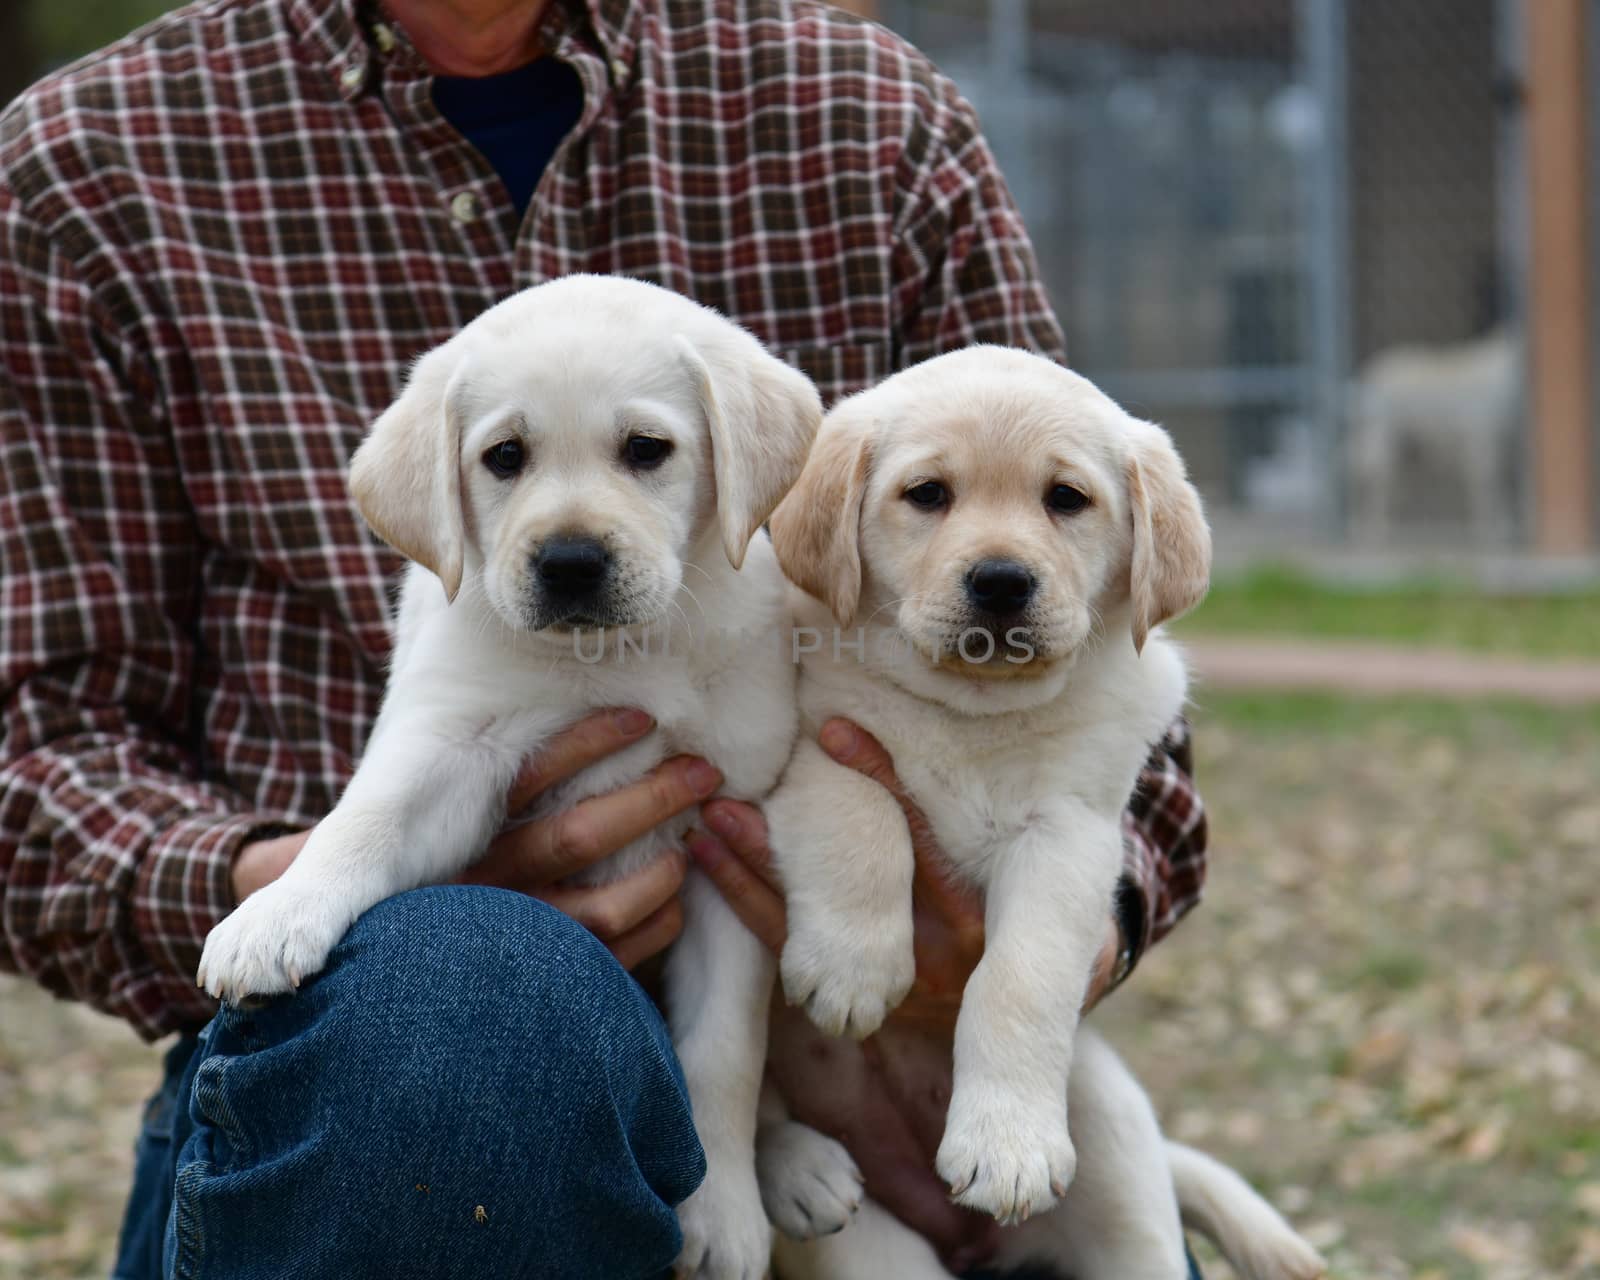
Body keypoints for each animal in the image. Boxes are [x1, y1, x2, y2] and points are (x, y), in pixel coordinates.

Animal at [196, 275, 825, 1273]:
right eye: (503, 457)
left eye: (646, 450)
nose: (570, 563)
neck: (616, 656)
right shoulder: (449, 742)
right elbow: (365, 820)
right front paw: (278, 912)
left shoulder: (723, 828)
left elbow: (728, 1051)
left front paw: (724, 1212)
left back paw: (799, 1164)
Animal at [761, 345, 1324, 1273]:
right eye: (927, 494)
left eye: (1066, 498)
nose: (1000, 581)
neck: (975, 714)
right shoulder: (814, 741)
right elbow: (862, 815)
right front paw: (853, 965)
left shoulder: (1070, 836)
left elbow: (1018, 978)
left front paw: (1007, 1144)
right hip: (874, 1252)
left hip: (1117, 1168)